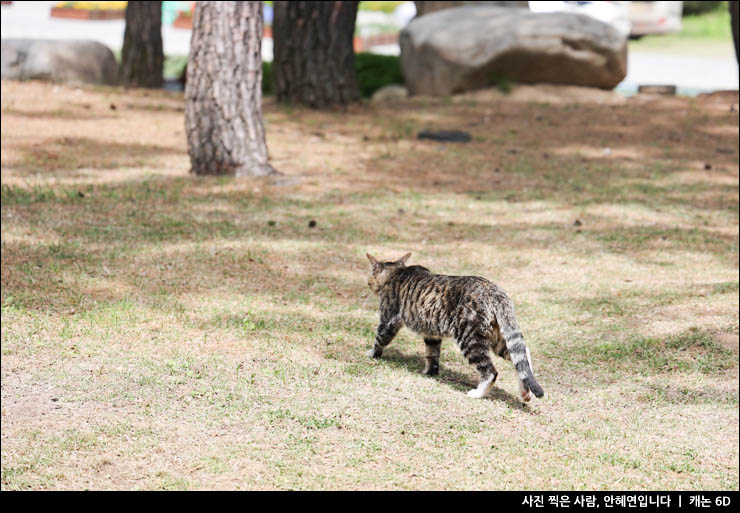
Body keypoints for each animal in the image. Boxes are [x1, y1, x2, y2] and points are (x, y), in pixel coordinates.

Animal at [366, 252, 544, 400]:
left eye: (371, 276)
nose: (369, 283)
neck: (397, 271)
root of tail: (494, 290)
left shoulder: (388, 320)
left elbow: (380, 339)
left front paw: (371, 354)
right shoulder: (432, 334)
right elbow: (432, 355)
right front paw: (430, 372)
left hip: (470, 338)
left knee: (491, 372)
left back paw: (478, 393)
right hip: (496, 337)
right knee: (522, 355)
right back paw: (525, 391)